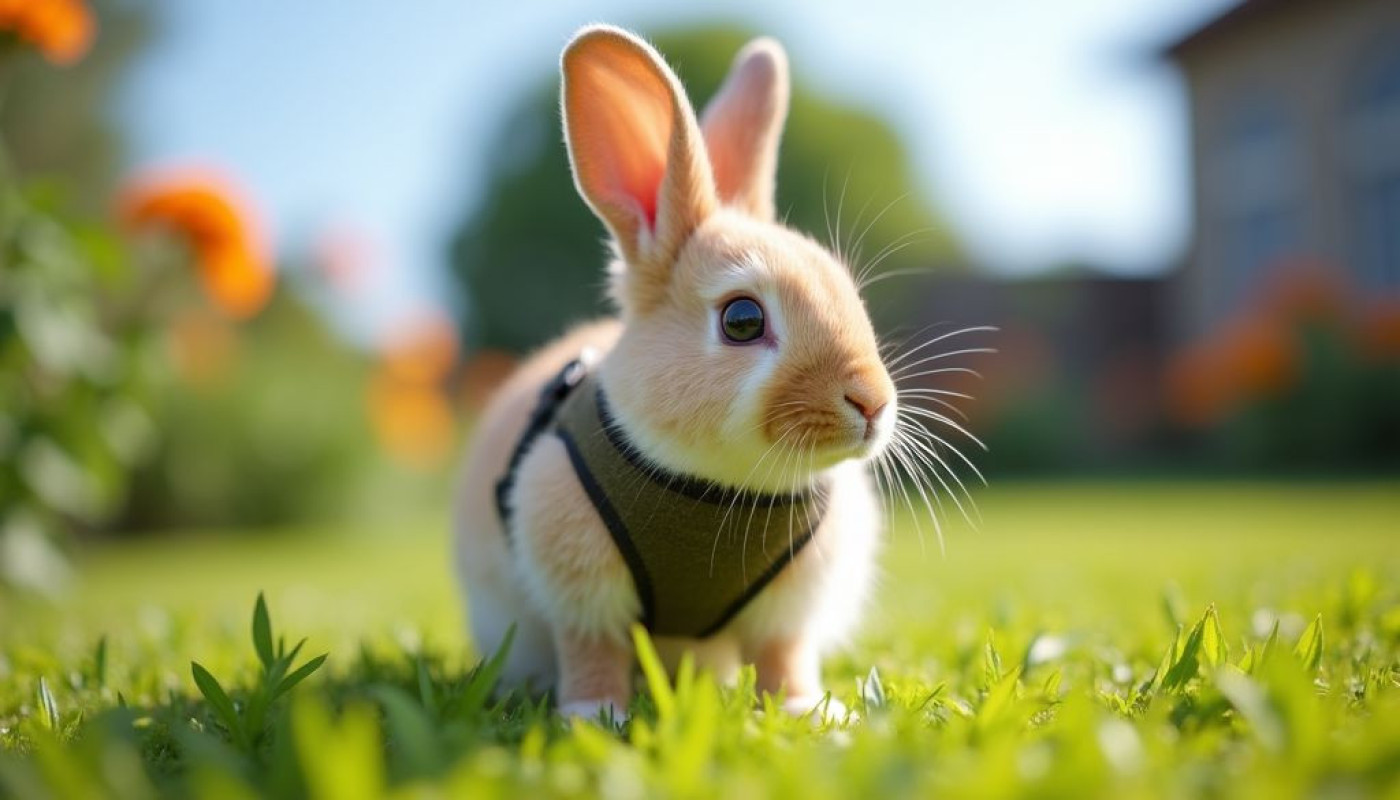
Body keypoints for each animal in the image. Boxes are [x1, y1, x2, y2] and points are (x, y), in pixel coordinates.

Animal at [454, 24, 898, 721]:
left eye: (848, 293)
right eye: (742, 319)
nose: (872, 403)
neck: (719, 489)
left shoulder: (792, 605)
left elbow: (784, 655)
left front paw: (807, 712)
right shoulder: (579, 587)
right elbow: (593, 651)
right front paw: (595, 717)